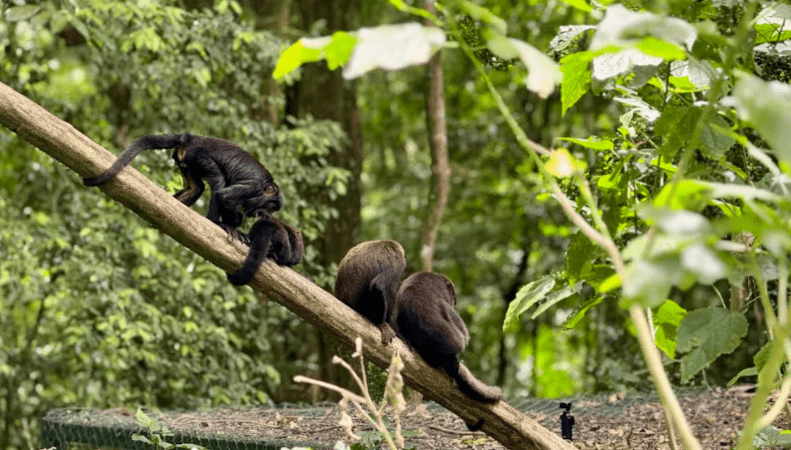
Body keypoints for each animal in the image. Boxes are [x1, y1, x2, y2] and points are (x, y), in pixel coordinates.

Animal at [83, 134, 282, 243]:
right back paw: (215, 222)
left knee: (197, 188)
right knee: (218, 181)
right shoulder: (254, 187)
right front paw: (233, 226)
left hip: (186, 159)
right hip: (199, 155)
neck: (265, 188)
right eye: (271, 207)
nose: (267, 215)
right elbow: (224, 195)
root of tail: (191, 137)